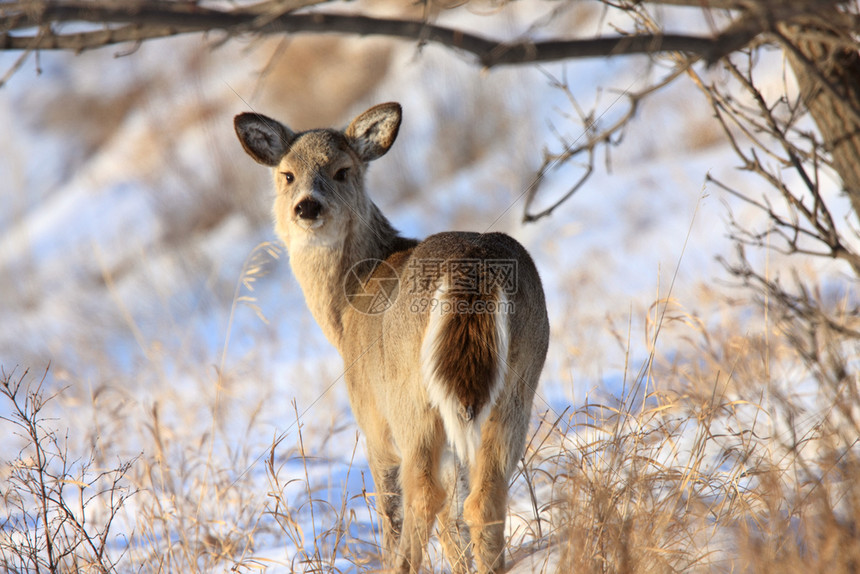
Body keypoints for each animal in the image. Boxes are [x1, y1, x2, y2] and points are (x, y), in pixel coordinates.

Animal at [232, 103, 548, 574]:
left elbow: (391, 512)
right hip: (516, 385)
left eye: (342, 170)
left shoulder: (372, 422)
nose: (307, 206)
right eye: (287, 174)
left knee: (426, 496)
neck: (347, 304)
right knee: (482, 499)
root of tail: (472, 269)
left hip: (410, 399)